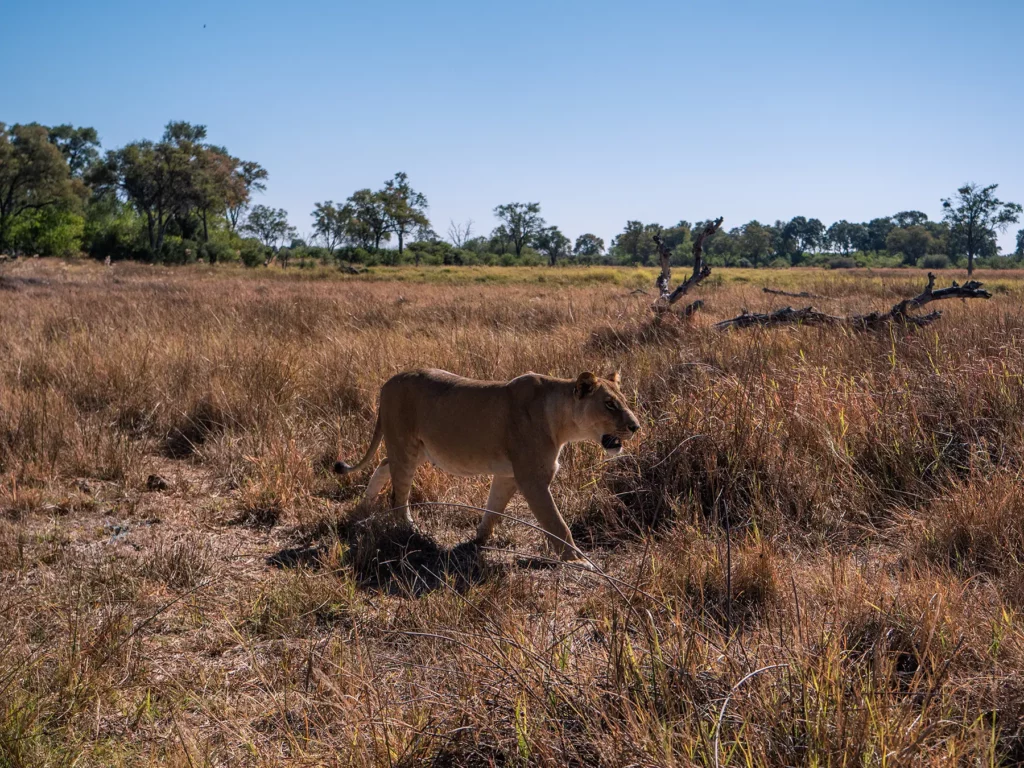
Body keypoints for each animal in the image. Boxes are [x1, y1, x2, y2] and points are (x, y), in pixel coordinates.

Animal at [334, 369, 641, 565]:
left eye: (624, 402)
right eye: (610, 404)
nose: (636, 427)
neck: (563, 422)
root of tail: (387, 382)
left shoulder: (508, 475)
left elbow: (494, 508)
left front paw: (479, 540)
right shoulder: (532, 478)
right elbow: (556, 523)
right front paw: (578, 561)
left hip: (418, 449)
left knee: (384, 465)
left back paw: (362, 507)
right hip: (405, 445)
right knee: (398, 495)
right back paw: (410, 530)